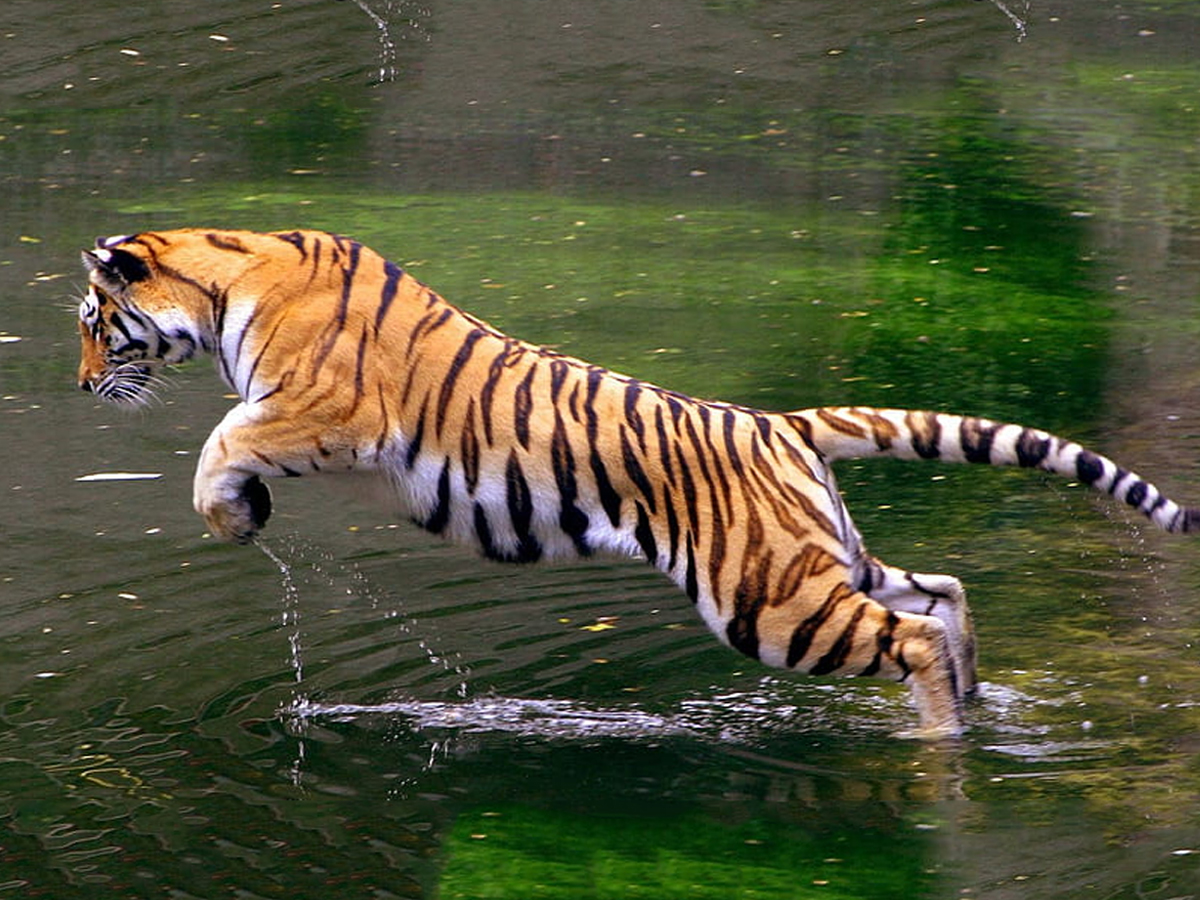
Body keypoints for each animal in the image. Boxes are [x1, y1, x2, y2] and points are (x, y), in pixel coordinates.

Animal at [76, 227, 1198, 738]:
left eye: (93, 324)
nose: (84, 386)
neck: (226, 276)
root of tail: (778, 423)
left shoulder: (323, 409)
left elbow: (218, 442)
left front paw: (235, 516)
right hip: (819, 560)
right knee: (942, 593)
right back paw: (968, 705)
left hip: (768, 600)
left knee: (911, 631)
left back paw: (940, 735)